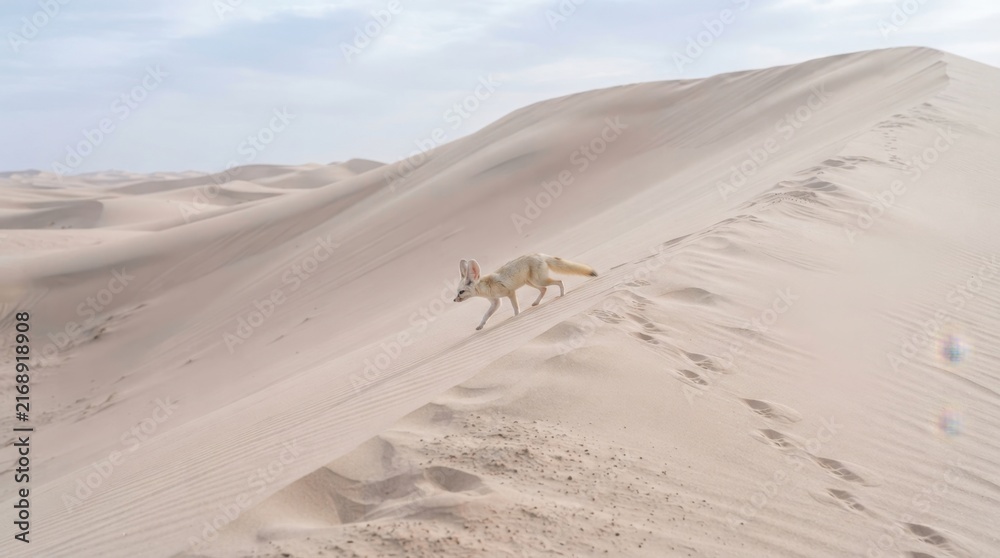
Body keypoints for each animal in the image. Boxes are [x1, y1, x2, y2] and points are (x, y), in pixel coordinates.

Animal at [453, 253, 598, 330]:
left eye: (461, 292)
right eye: (457, 292)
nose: (454, 300)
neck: (487, 286)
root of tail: (540, 254)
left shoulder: (510, 293)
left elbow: (515, 307)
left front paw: (516, 316)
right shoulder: (496, 302)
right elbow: (485, 316)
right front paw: (480, 326)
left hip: (539, 281)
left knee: (559, 281)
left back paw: (562, 294)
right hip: (532, 282)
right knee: (544, 289)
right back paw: (536, 303)